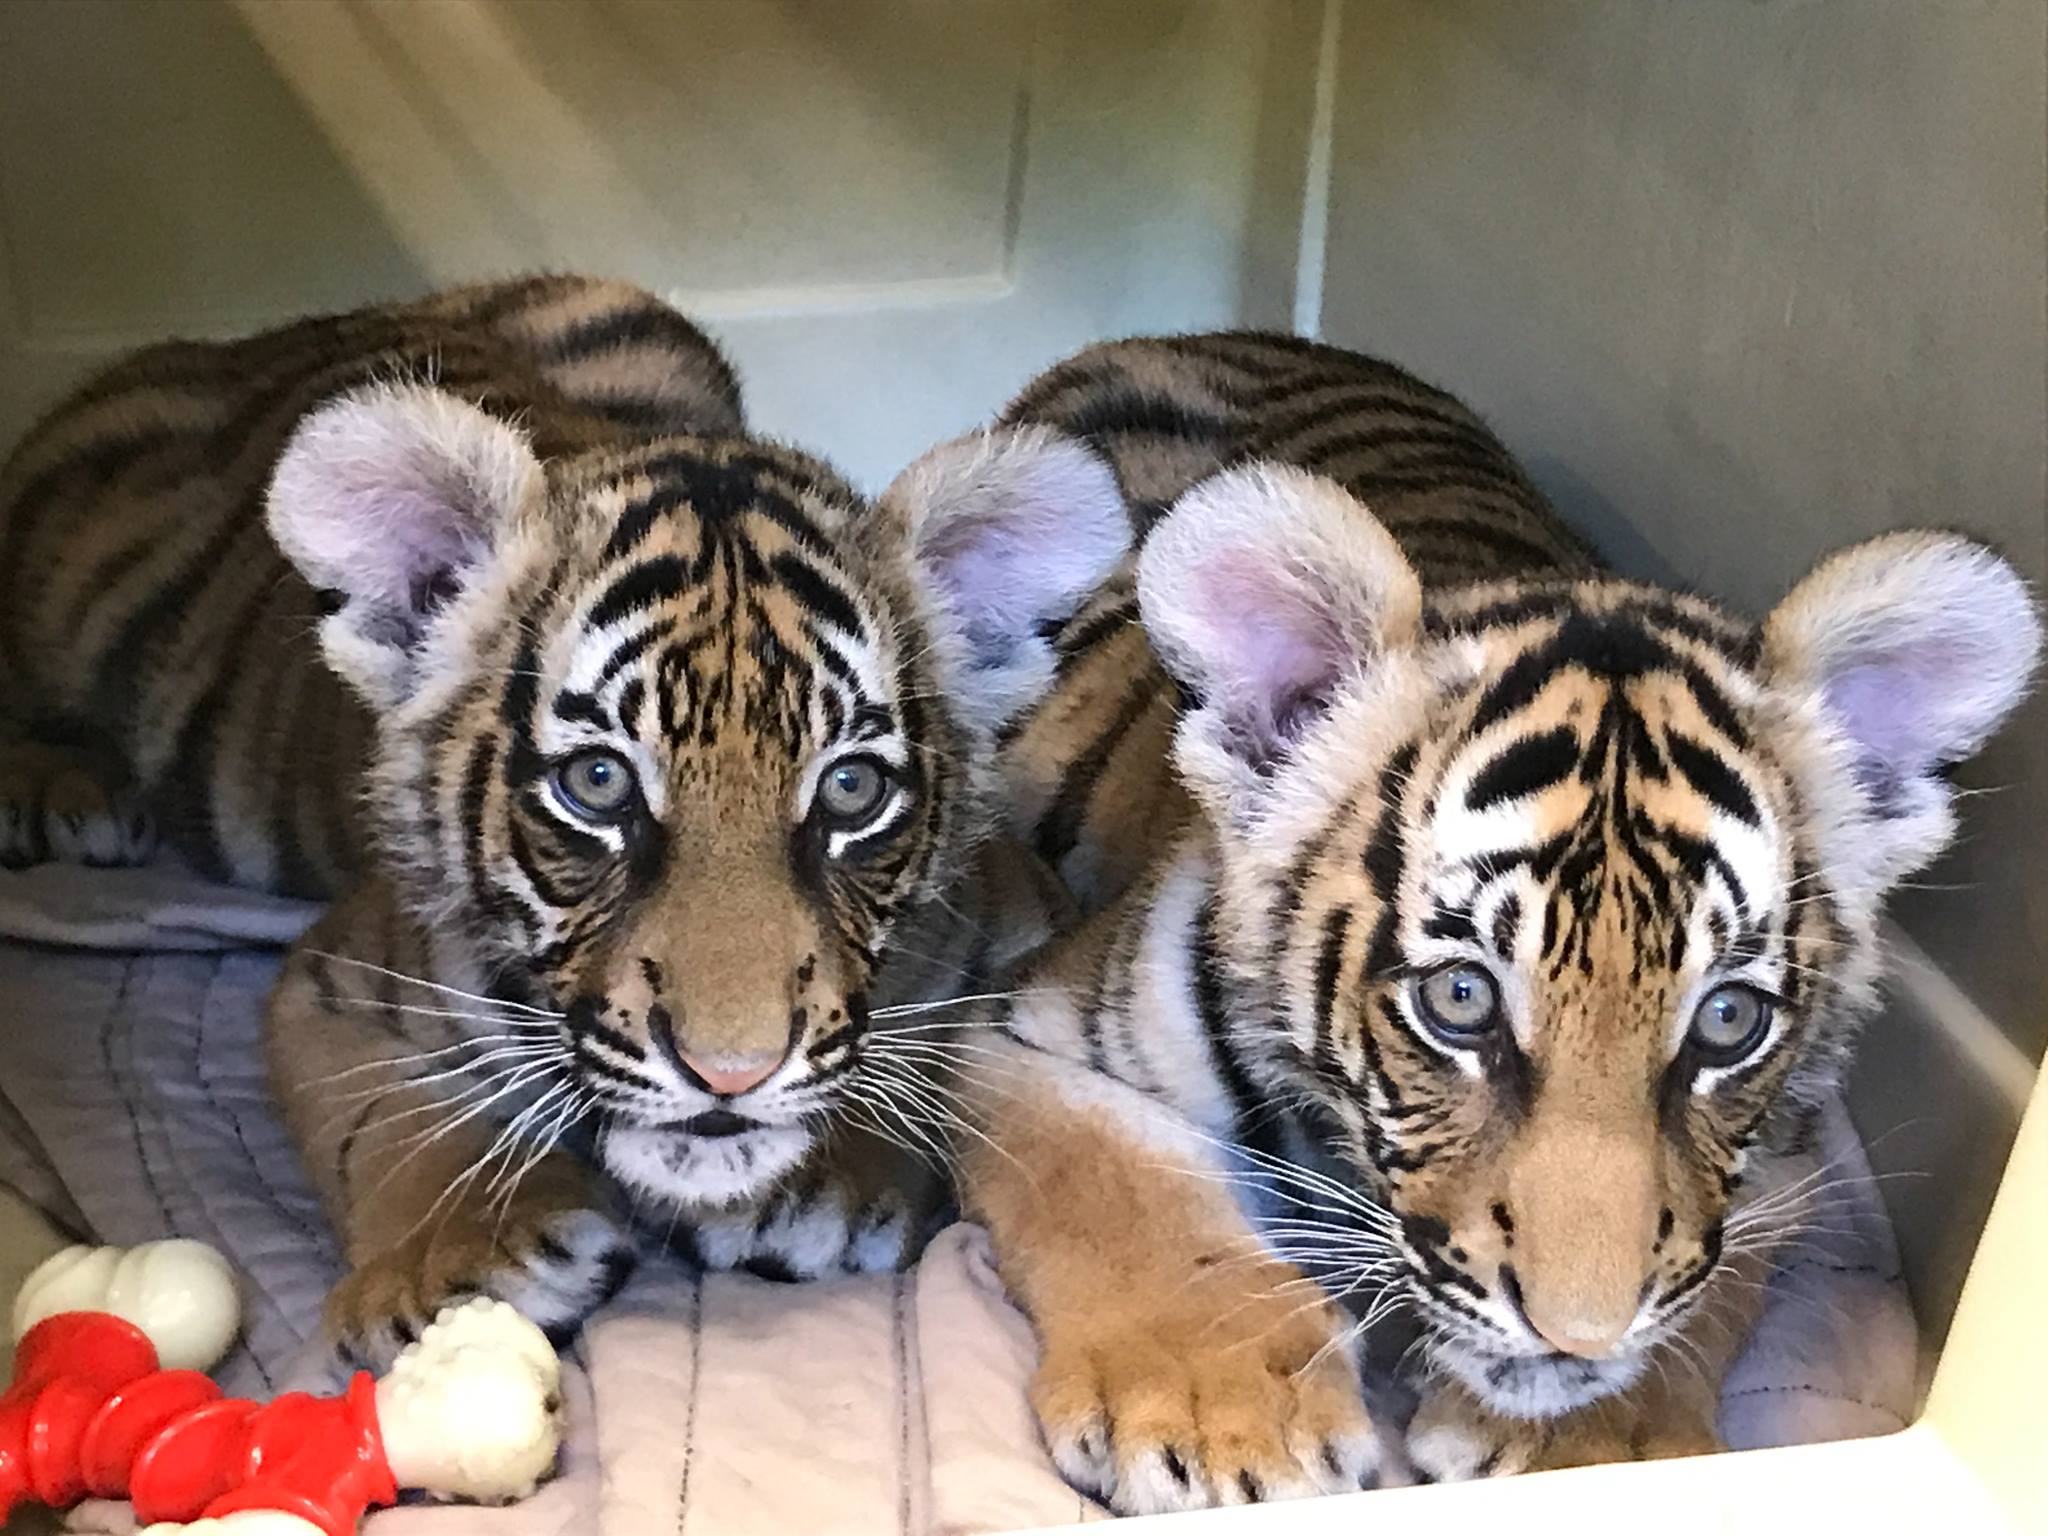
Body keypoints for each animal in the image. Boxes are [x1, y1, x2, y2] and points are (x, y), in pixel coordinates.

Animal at [0, 274, 1126, 1364]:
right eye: (596, 783)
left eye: (851, 790)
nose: (732, 1073)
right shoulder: (330, 983)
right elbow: (382, 1119)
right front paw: (457, 1258)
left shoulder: (1026, 924)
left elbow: (941, 1049)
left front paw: (832, 1183)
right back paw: (59, 792)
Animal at [880, 332, 2042, 1512]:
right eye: (1459, 998)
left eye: (1727, 1021)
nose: (1580, 1337)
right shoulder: (1015, 1032)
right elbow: (1119, 1189)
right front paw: (1217, 1414)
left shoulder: (1792, 1150)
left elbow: (1717, 1272)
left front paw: (1600, 1444)